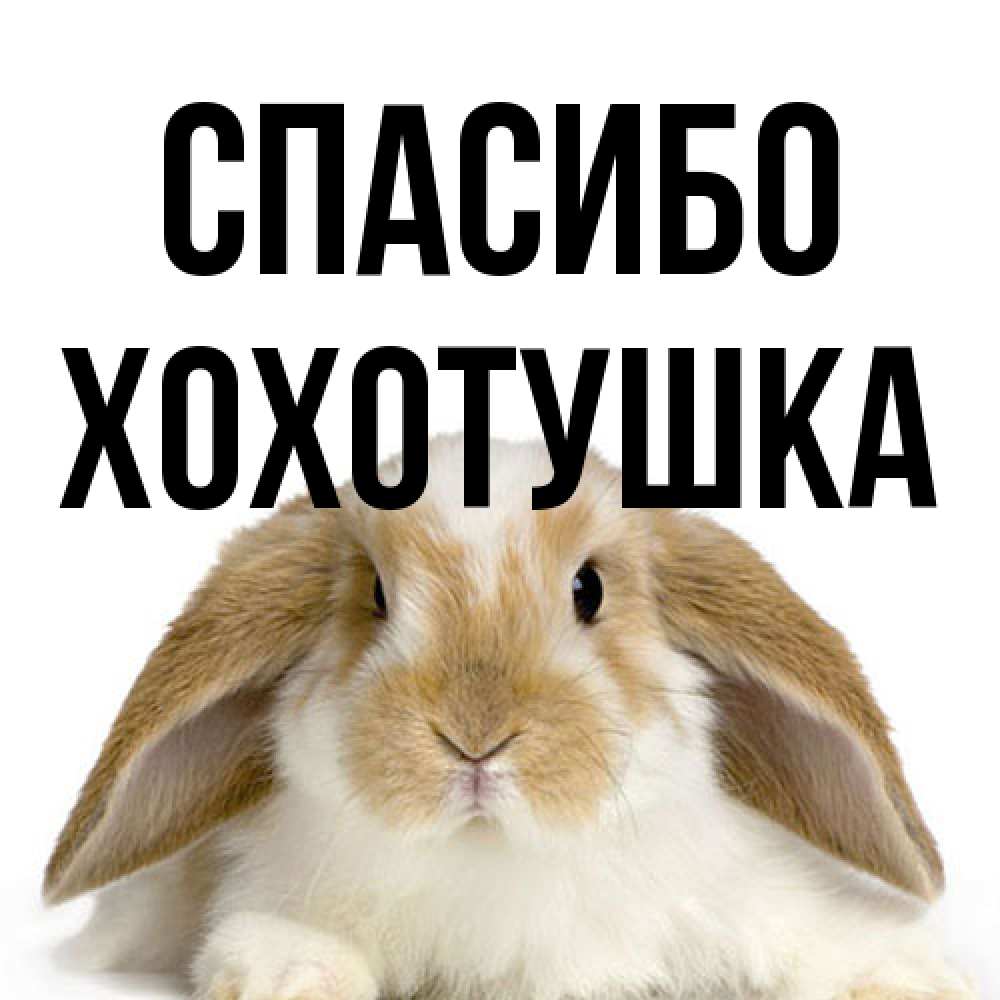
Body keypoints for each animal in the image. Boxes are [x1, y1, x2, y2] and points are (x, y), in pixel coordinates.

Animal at [45, 436, 975, 1000]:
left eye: (589, 589)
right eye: (376, 596)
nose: (475, 737)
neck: (495, 857)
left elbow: (817, 939)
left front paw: (910, 977)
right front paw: (291, 976)